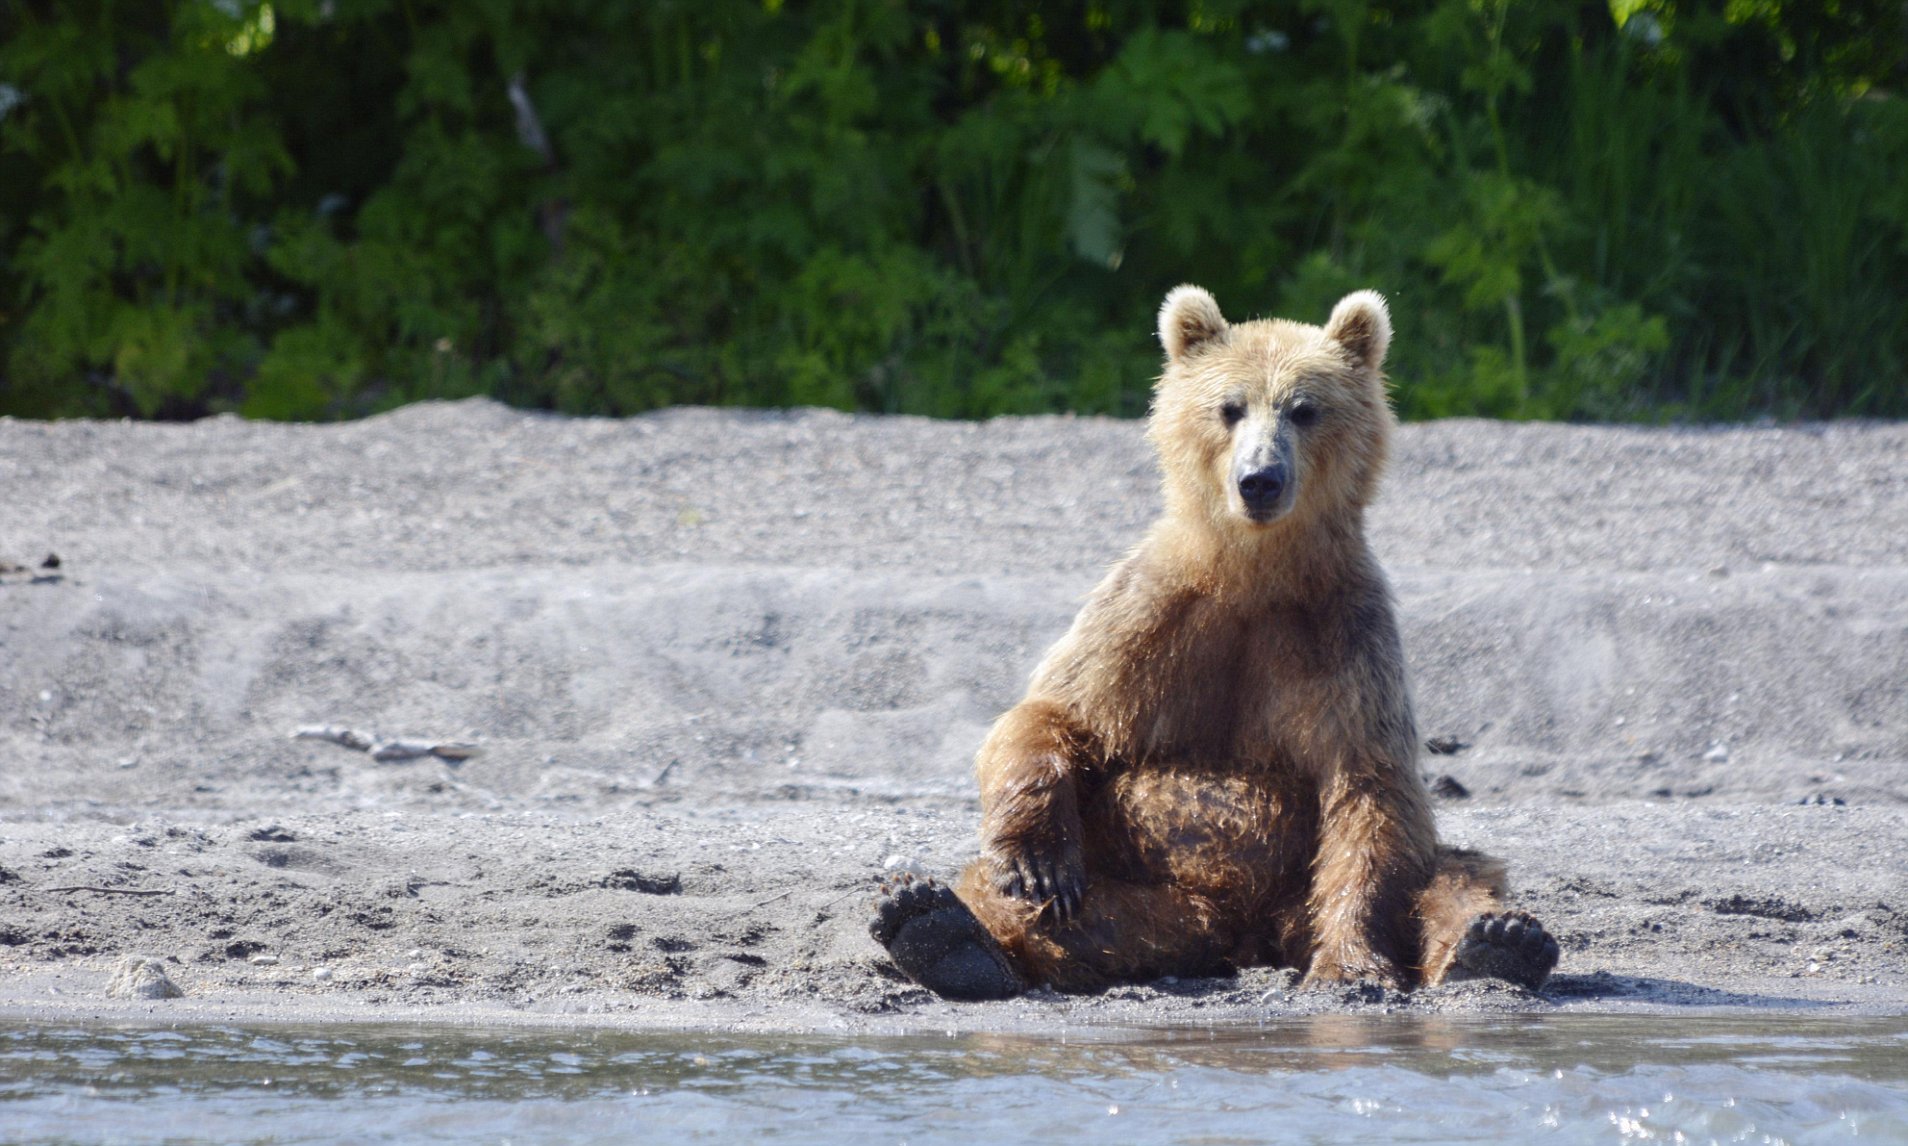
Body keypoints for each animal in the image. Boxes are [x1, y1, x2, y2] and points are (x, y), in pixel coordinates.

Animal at [873, 282, 1556, 999]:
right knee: (1041, 905)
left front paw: (1350, 965)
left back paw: (1499, 942)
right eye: (1230, 407)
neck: (1252, 571)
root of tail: (1238, 933)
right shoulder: (1148, 616)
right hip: (1141, 884)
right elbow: (1054, 712)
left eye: (1304, 409)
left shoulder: (1344, 637)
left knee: (1454, 875)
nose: (1260, 478)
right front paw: (1037, 863)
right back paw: (937, 927)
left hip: (1296, 887)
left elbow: (1370, 793)